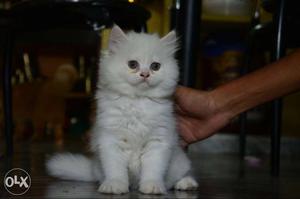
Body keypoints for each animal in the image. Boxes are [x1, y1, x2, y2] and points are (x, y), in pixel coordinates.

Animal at [45, 24, 198, 194]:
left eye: (155, 66)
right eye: (133, 64)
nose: (145, 74)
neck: (137, 102)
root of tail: (93, 169)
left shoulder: (158, 141)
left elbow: (153, 170)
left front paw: (152, 186)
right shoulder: (111, 141)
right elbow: (115, 170)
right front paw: (115, 185)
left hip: (180, 162)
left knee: (181, 175)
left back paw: (186, 183)